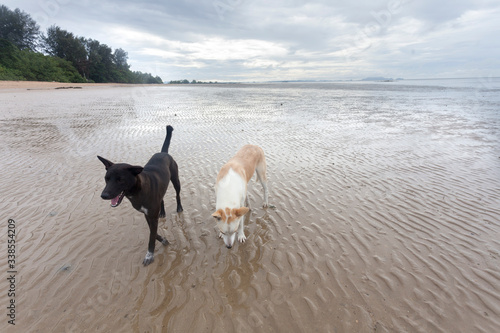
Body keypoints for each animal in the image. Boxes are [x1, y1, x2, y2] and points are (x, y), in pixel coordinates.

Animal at [97, 124, 184, 264]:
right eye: (106, 178)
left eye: (120, 179)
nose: (104, 195)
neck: (137, 192)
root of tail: (164, 153)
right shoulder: (146, 214)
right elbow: (153, 233)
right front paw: (163, 240)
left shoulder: (151, 216)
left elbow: (151, 236)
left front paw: (149, 255)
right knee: (162, 199)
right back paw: (162, 212)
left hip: (175, 179)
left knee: (177, 194)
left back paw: (179, 207)